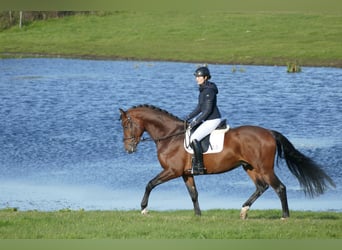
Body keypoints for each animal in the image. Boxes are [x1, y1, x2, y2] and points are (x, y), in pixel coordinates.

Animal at [119, 103, 336, 219]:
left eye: (126, 125)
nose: (128, 149)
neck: (171, 136)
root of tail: (268, 132)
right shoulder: (185, 174)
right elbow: (193, 194)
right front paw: (198, 216)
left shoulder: (172, 171)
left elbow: (149, 184)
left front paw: (144, 209)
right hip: (249, 167)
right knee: (261, 187)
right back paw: (243, 211)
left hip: (264, 168)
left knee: (279, 187)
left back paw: (284, 216)